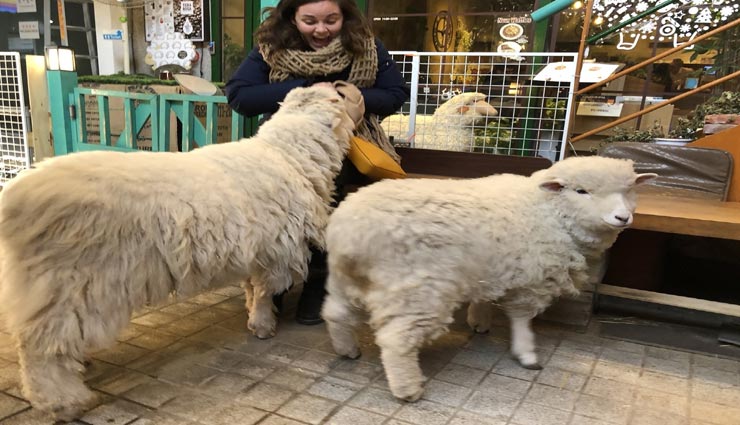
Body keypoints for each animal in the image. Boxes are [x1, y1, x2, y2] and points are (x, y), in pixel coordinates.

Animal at [0, 84, 359, 421]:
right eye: (339, 96)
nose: (354, 91)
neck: (287, 155)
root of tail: (14, 195)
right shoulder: (274, 249)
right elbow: (263, 290)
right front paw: (263, 324)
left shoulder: (254, 247)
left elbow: (251, 286)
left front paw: (254, 317)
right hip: (69, 282)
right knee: (39, 346)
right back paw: (63, 401)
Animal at [321, 156, 656, 401]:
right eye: (581, 191)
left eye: (629, 190)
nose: (622, 218)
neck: (544, 209)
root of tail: (351, 231)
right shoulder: (533, 278)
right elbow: (521, 318)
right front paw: (526, 352)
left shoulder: (489, 267)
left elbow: (484, 296)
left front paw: (479, 321)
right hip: (418, 288)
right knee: (395, 339)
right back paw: (408, 388)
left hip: (347, 279)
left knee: (335, 313)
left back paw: (347, 349)